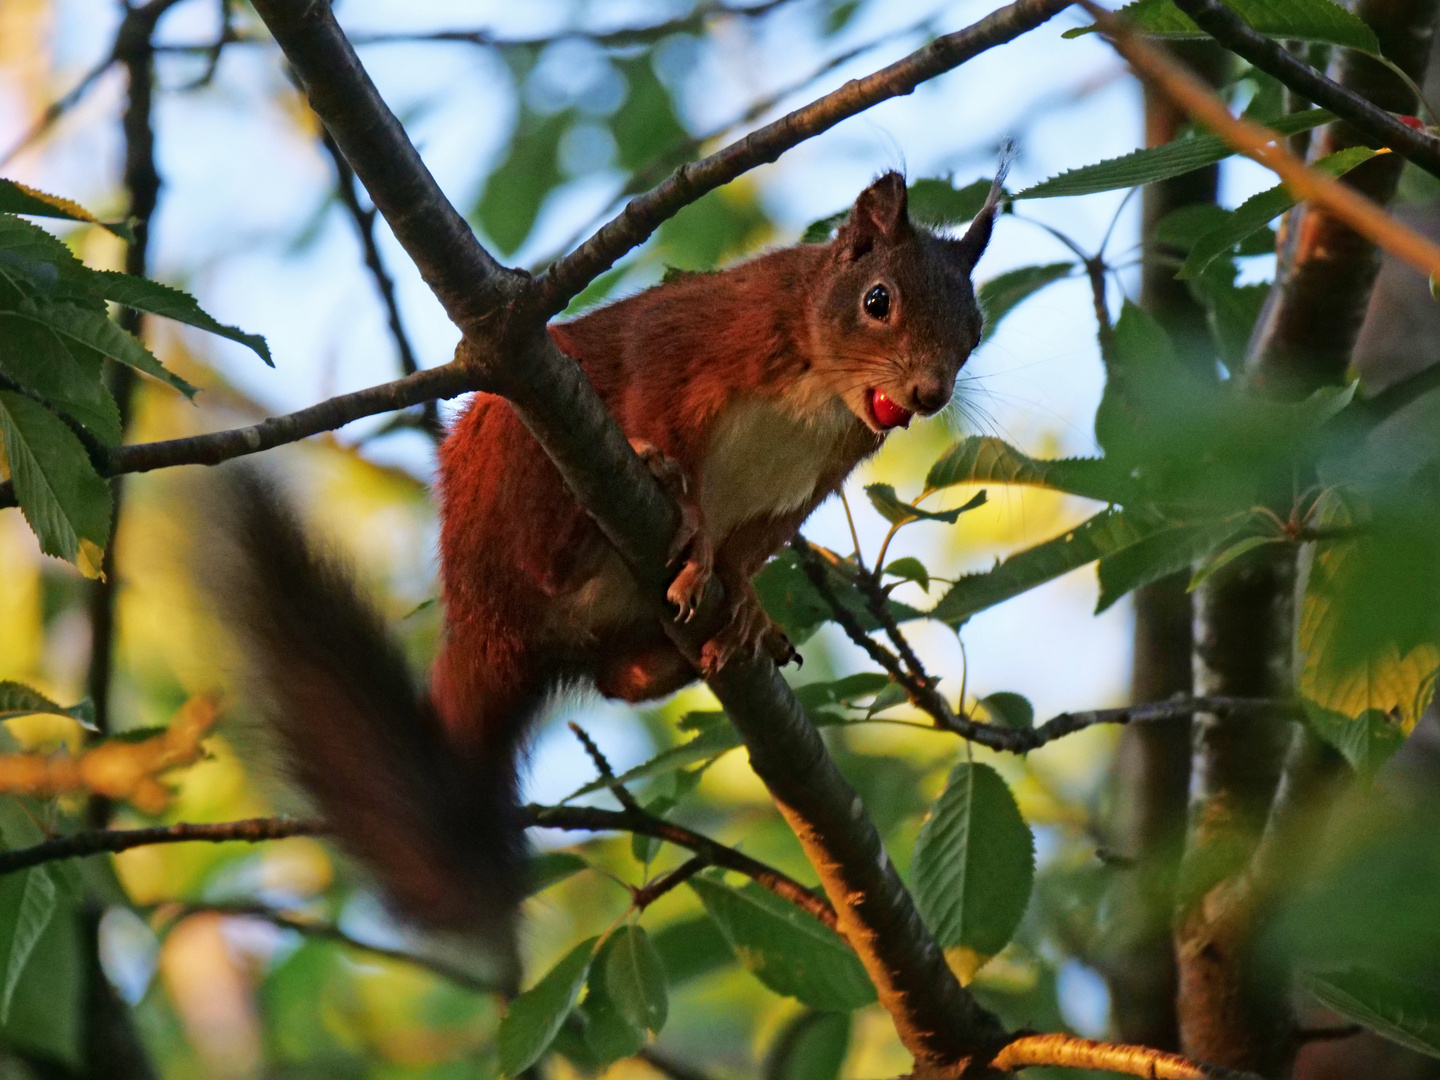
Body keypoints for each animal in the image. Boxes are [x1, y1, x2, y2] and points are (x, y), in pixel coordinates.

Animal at [216, 167, 1002, 956]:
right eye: (878, 301)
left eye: (975, 332)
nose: (930, 394)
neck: (822, 390)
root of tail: (481, 618)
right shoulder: (695, 336)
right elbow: (654, 393)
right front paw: (690, 520)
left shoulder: (803, 490)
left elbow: (748, 551)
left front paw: (744, 600)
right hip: (515, 462)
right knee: (546, 554)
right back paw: (601, 520)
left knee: (615, 681)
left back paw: (671, 658)